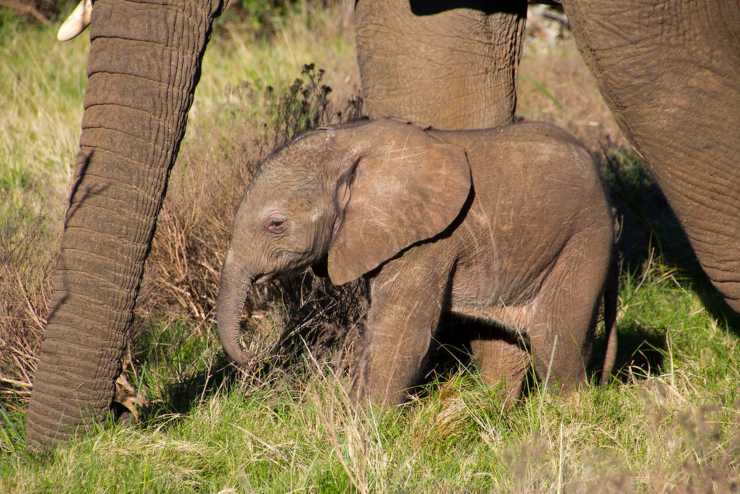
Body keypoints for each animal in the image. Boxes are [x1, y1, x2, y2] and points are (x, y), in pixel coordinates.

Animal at [216, 118, 619, 406]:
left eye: (276, 224)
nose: (256, 355)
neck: (351, 144)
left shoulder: (429, 242)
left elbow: (402, 331)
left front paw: (366, 428)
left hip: (583, 237)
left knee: (554, 341)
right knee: (506, 346)